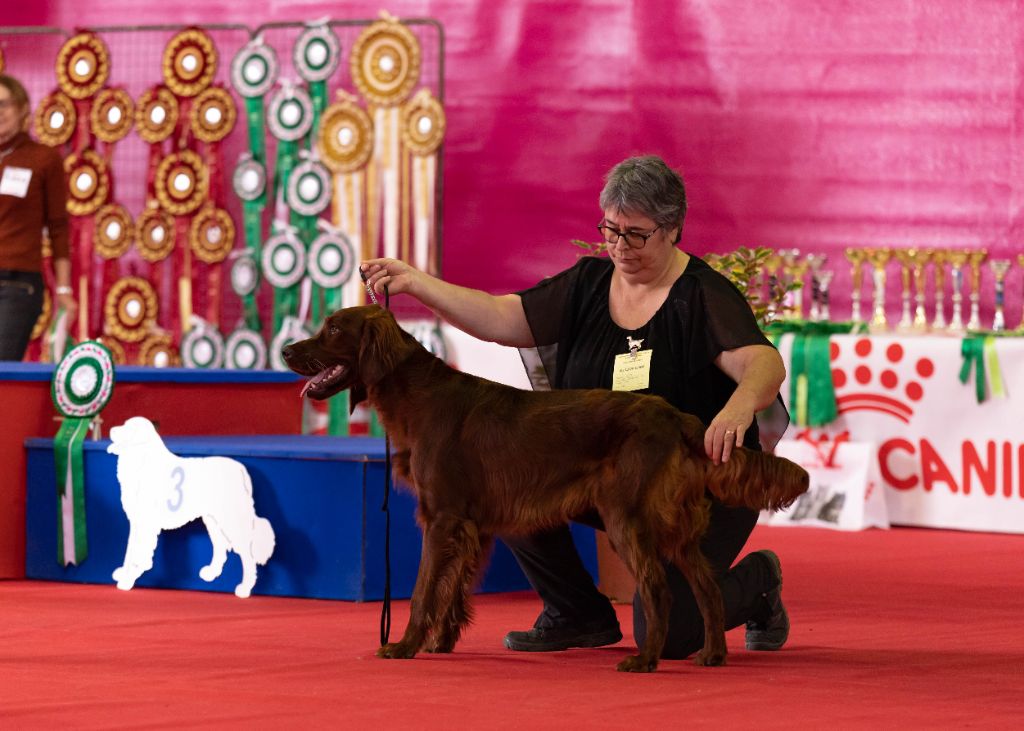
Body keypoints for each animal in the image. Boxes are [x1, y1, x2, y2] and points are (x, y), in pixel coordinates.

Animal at [282, 305, 806, 667]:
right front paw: (440, 643)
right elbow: (452, 588)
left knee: (659, 590)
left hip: (628, 518)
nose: (286, 351)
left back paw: (645, 660)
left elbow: (423, 588)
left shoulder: (442, 517)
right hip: (675, 528)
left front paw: (404, 645)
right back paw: (712, 654)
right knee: (706, 588)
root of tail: (679, 418)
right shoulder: (472, 524)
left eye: (333, 329)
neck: (417, 397)